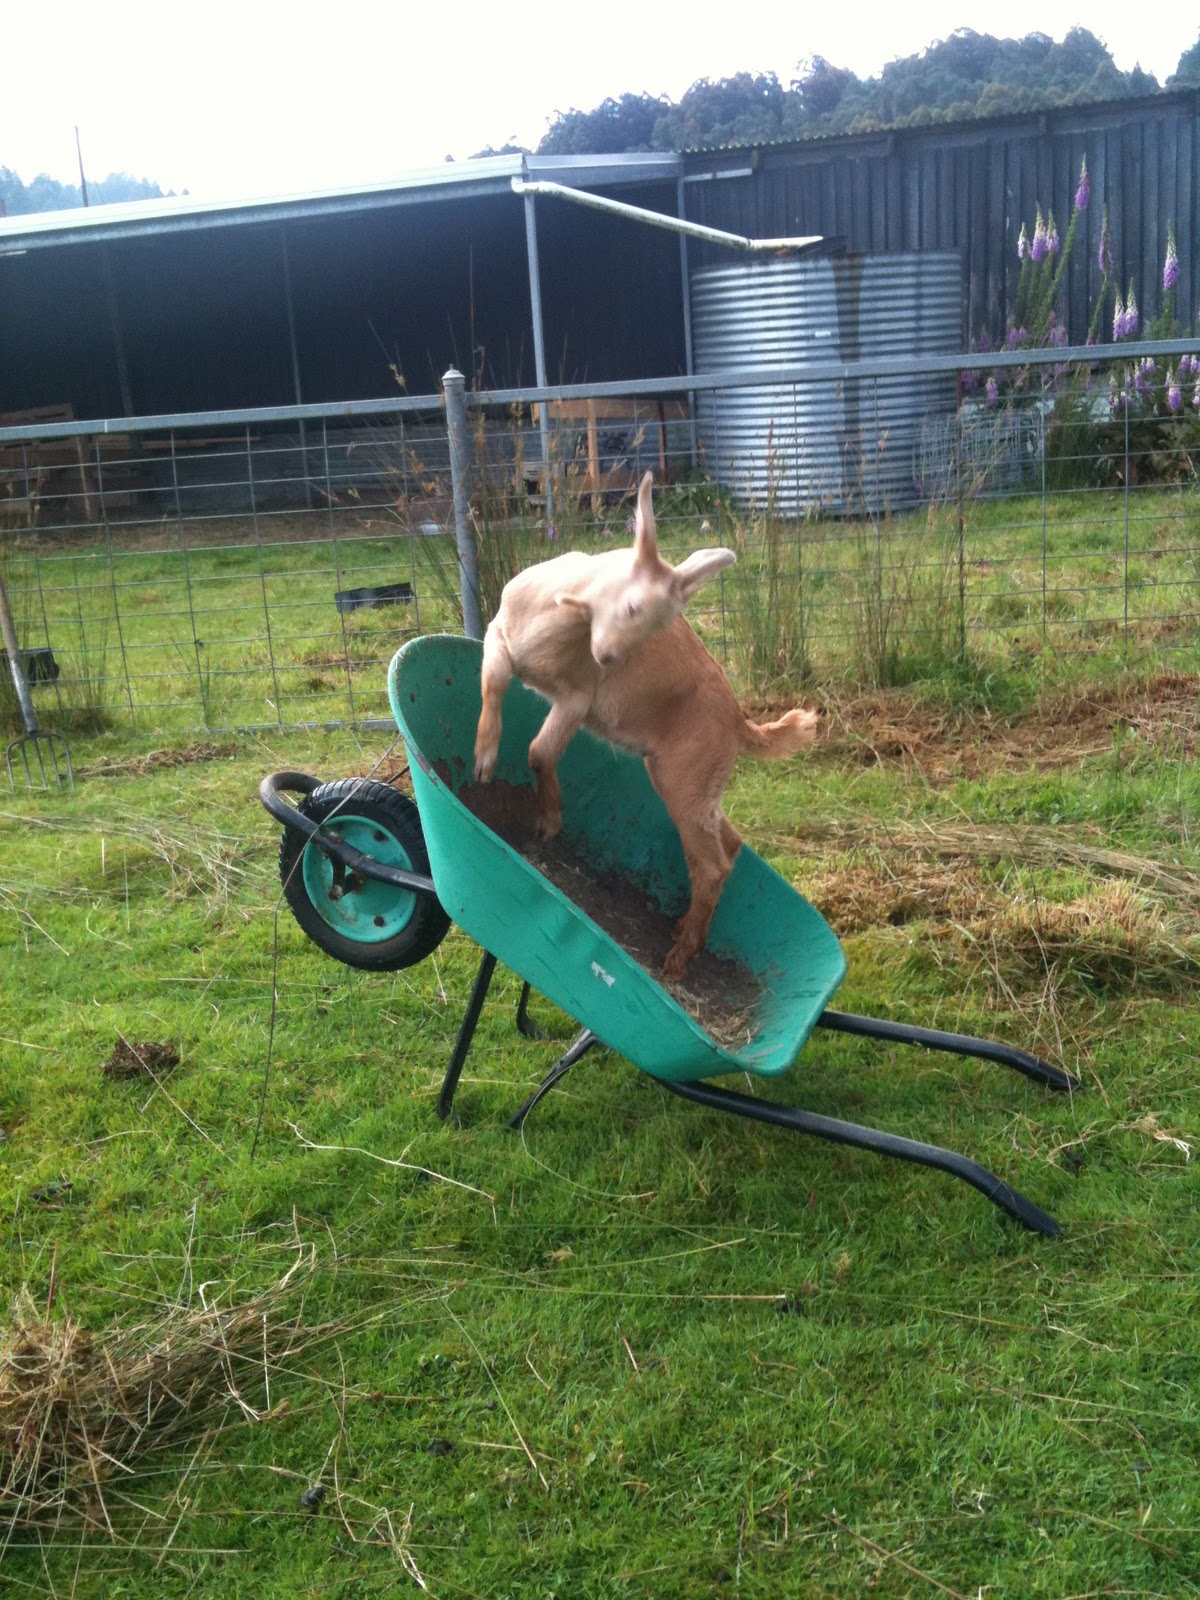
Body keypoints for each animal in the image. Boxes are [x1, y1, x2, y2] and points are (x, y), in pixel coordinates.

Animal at [473, 472, 818, 980]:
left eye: (663, 624)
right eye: (633, 606)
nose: (610, 657)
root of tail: (740, 722)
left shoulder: (577, 697)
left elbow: (540, 752)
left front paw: (549, 822)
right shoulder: (498, 635)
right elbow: (494, 684)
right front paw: (483, 758)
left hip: (684, 777)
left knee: (711, 864)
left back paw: (678, 960)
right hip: (700, 781)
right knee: (731, 842)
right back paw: (683, 930)